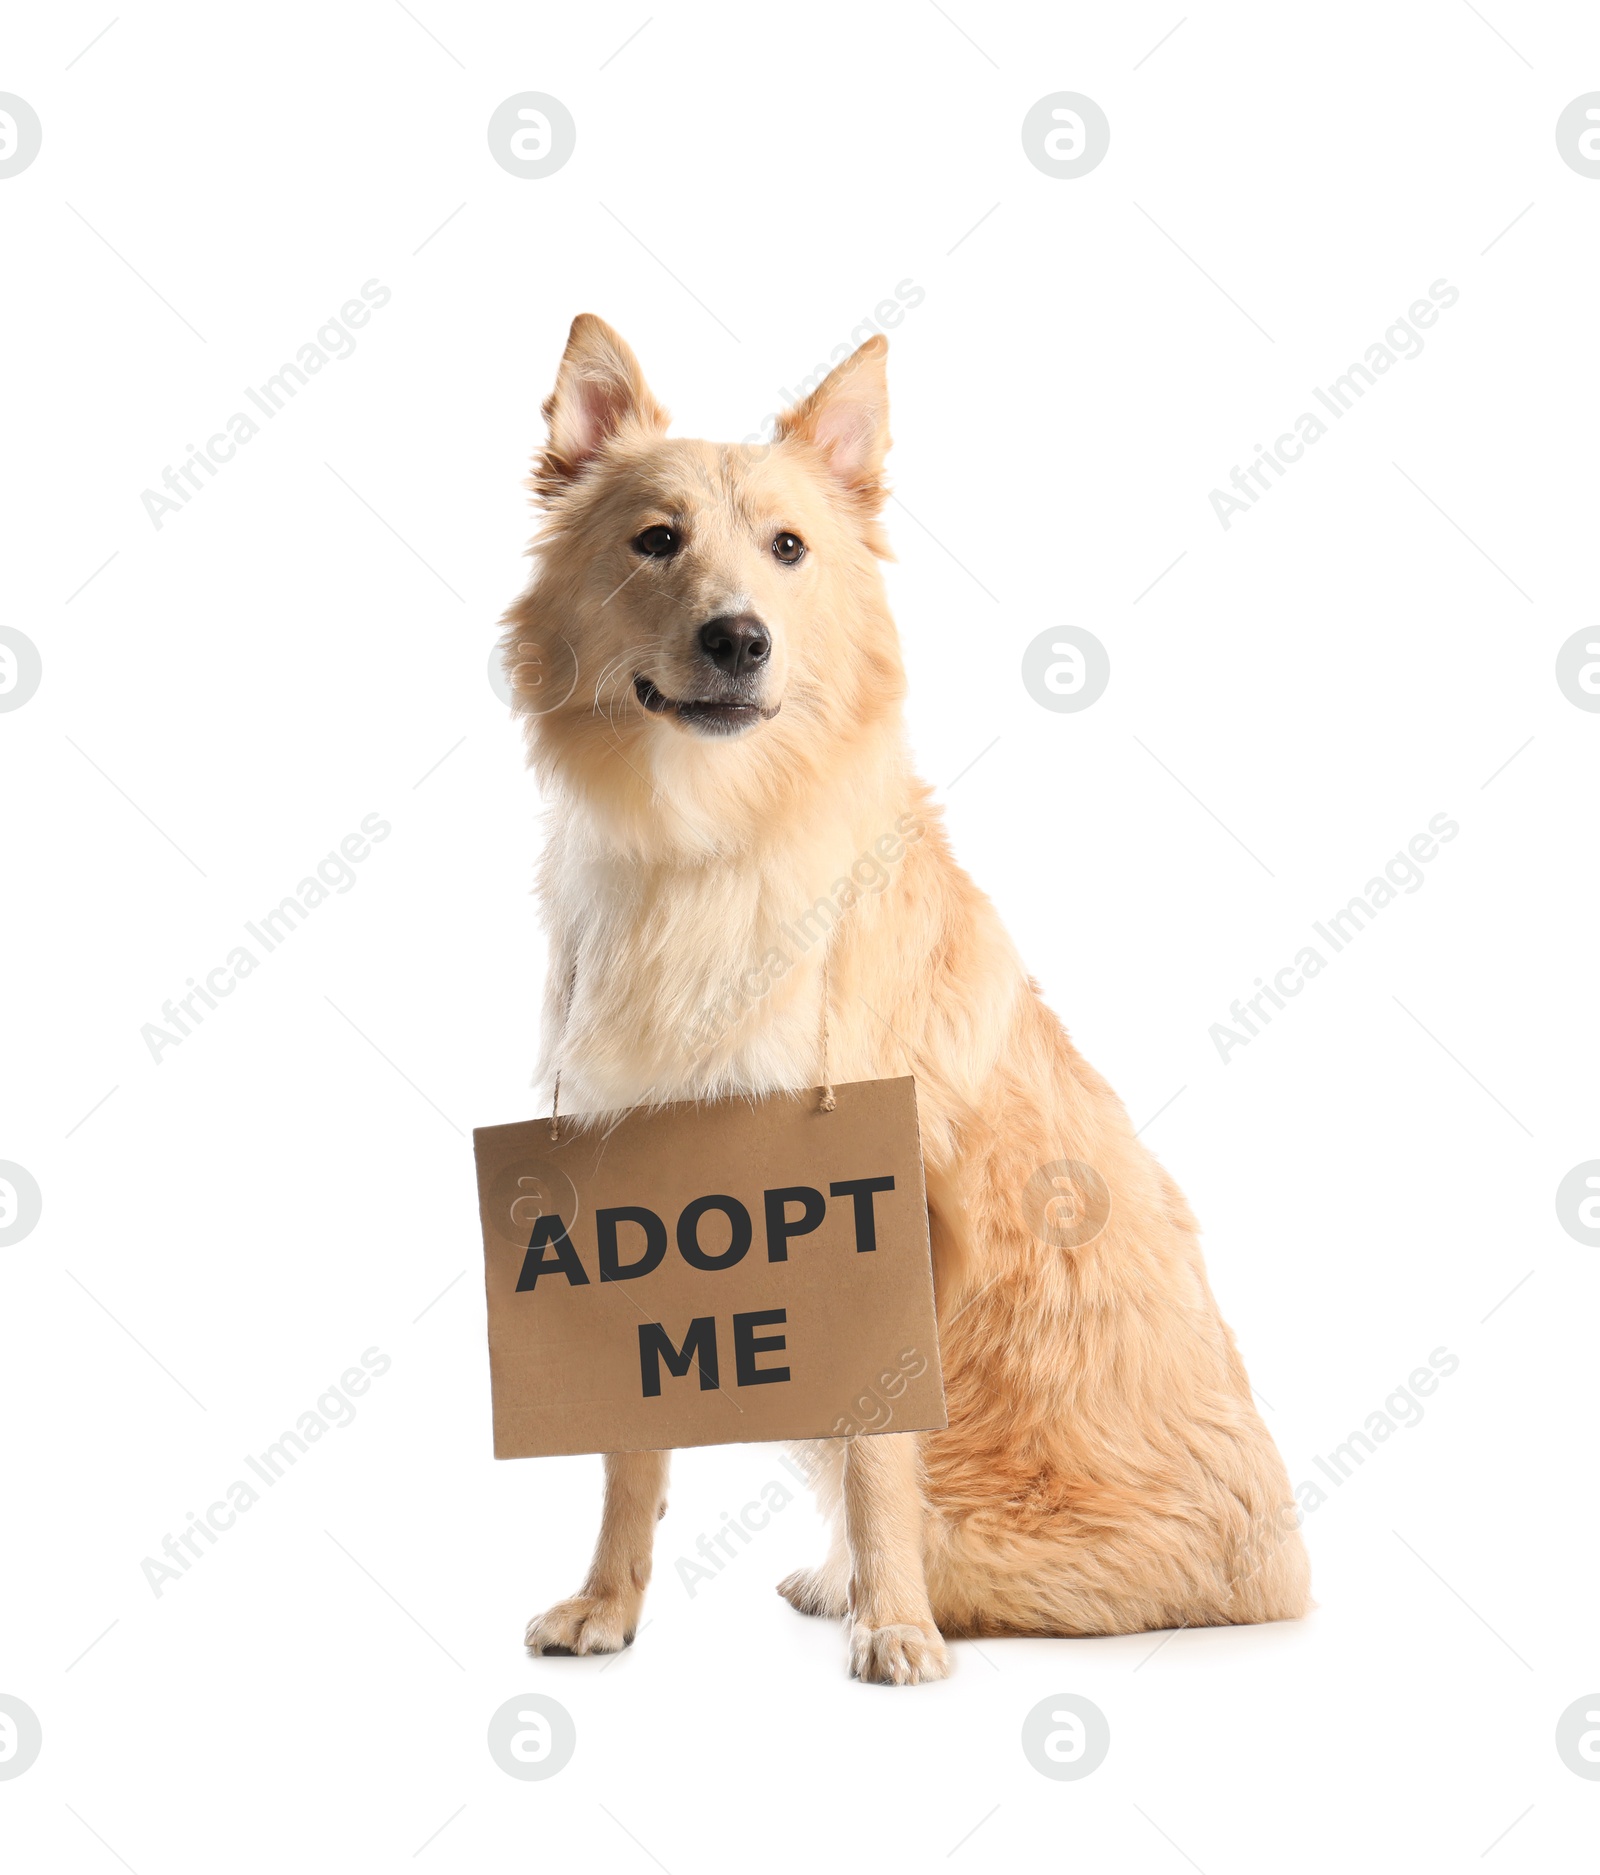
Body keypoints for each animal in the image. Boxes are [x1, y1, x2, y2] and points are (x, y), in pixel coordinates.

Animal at [502, 315, 1313, 1695]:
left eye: (788, 549)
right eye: (656, 539)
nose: (739, 639)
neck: (705, 843)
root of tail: (1291, 1571)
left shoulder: (888, 1227)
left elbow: (878, 1452)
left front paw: (895, 1627)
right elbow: (629, 1452)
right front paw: (609, 1606)